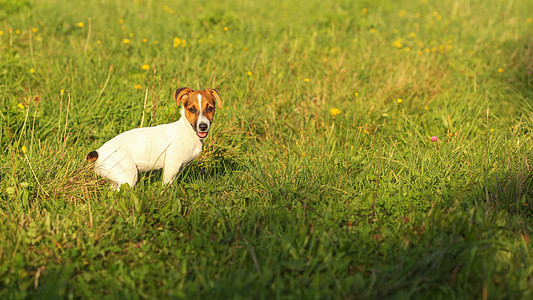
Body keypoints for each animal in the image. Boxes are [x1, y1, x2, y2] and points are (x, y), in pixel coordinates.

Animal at [87, 87, 220, 190]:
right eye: (192, 109)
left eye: (210, 108)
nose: (203, 126)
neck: (187, 132)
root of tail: (98, 153)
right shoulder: (171, 166)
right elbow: (167, 186)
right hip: (128, 176)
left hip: (116, 179)